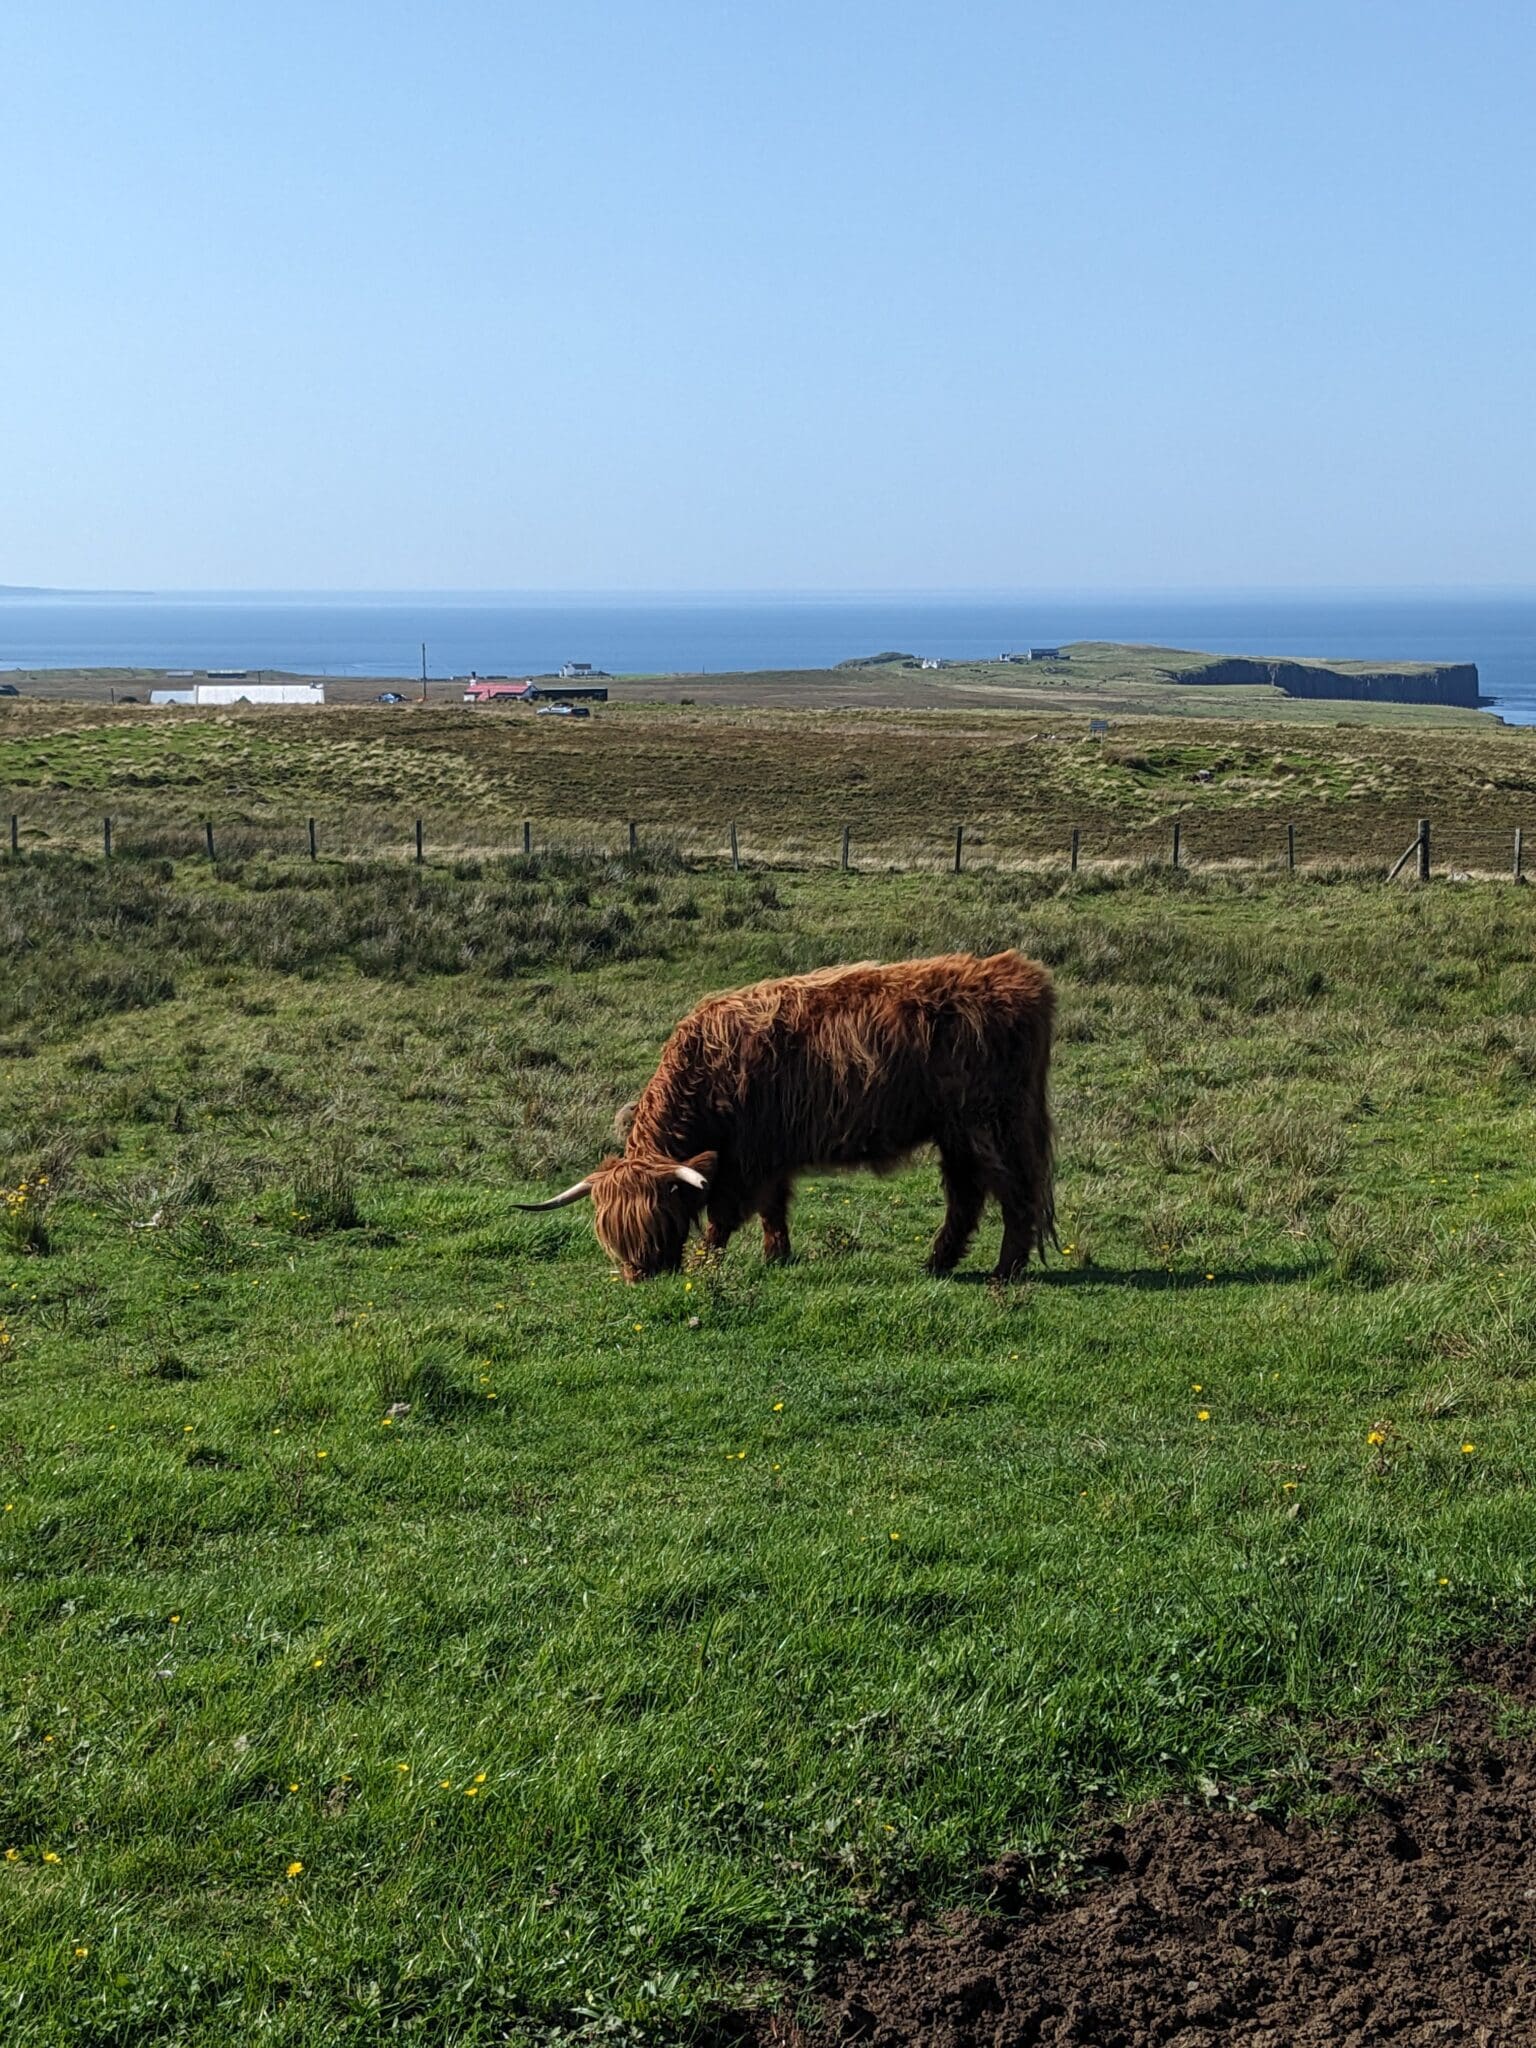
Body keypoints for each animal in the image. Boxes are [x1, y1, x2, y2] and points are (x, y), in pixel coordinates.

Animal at [520, 946, 1056, 1277]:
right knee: (966, 1196)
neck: (704, 1071)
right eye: (613, 1235)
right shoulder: (771, 1154)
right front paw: (776, 1256)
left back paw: (1005, 1271)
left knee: (1016, 1193)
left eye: (658, 1221)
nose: (640, 1275)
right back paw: (937, 1264)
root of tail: (1021, 974)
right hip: (957, 1132)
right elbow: (773, 1209)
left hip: (992, 1124)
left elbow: (724, 1214)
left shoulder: (747, 1156)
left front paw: (705, 1263)